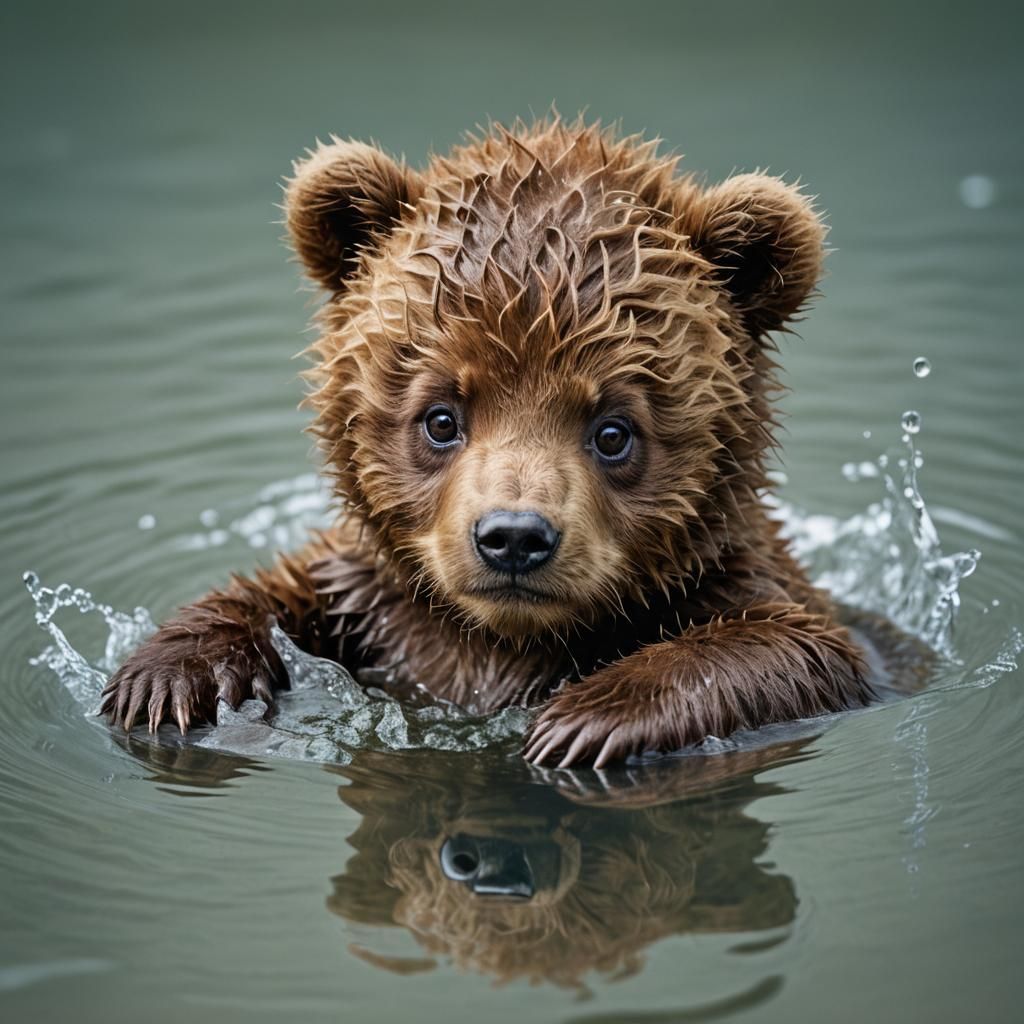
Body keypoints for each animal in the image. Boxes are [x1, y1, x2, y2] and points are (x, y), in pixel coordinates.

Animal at [101, 116, 872, 767]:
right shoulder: (374, 607)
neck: (501, 643)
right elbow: (281, 589)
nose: (514, 537)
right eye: (441, 417)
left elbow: (792, 645)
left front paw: (583, 721)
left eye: (613, 430)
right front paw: (167, 680)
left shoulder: (740, 590)